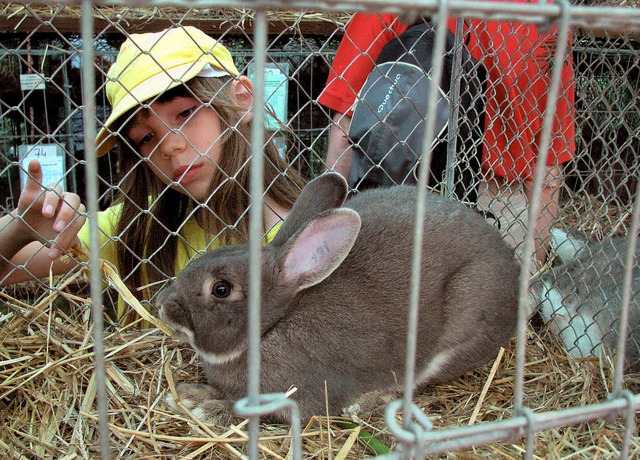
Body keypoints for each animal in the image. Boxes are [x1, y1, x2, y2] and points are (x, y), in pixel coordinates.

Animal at [156, 172, 520, 424]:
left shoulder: (299, 399)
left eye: (221, 288)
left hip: (459, 329)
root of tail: (512, 270)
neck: (273, 326)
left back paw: (366, 402)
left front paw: (206, 408)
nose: (161, 305)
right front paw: (190, 395)